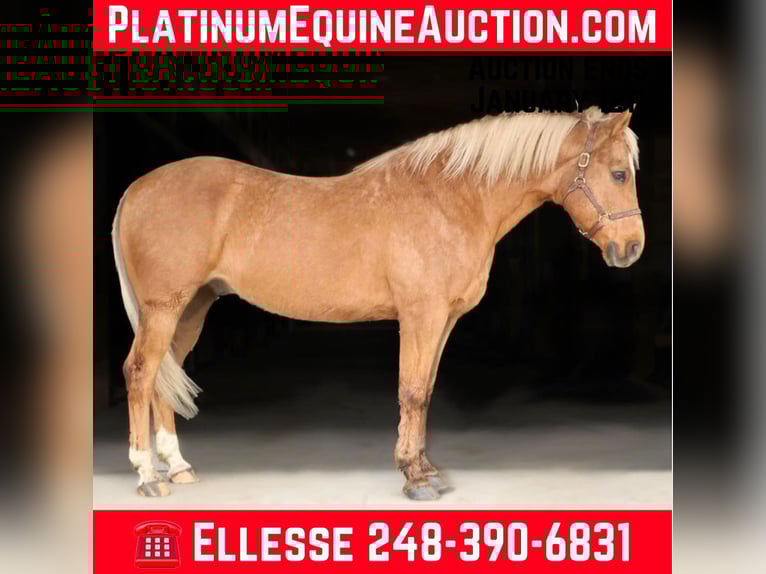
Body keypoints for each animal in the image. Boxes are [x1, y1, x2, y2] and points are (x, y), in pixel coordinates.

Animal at [112, 106, 644, 500]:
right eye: (618, 173)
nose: (631, 248)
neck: (451, 198)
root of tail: (136, 189)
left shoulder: (444, 320)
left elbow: (425, 390)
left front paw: (426, 469)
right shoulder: (421, 315)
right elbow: (411, 391)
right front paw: (413, 478)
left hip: (192, 308)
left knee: (163, 376)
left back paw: (178, 467)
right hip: (164, 307)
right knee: (140, 373)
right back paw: (147, 475)